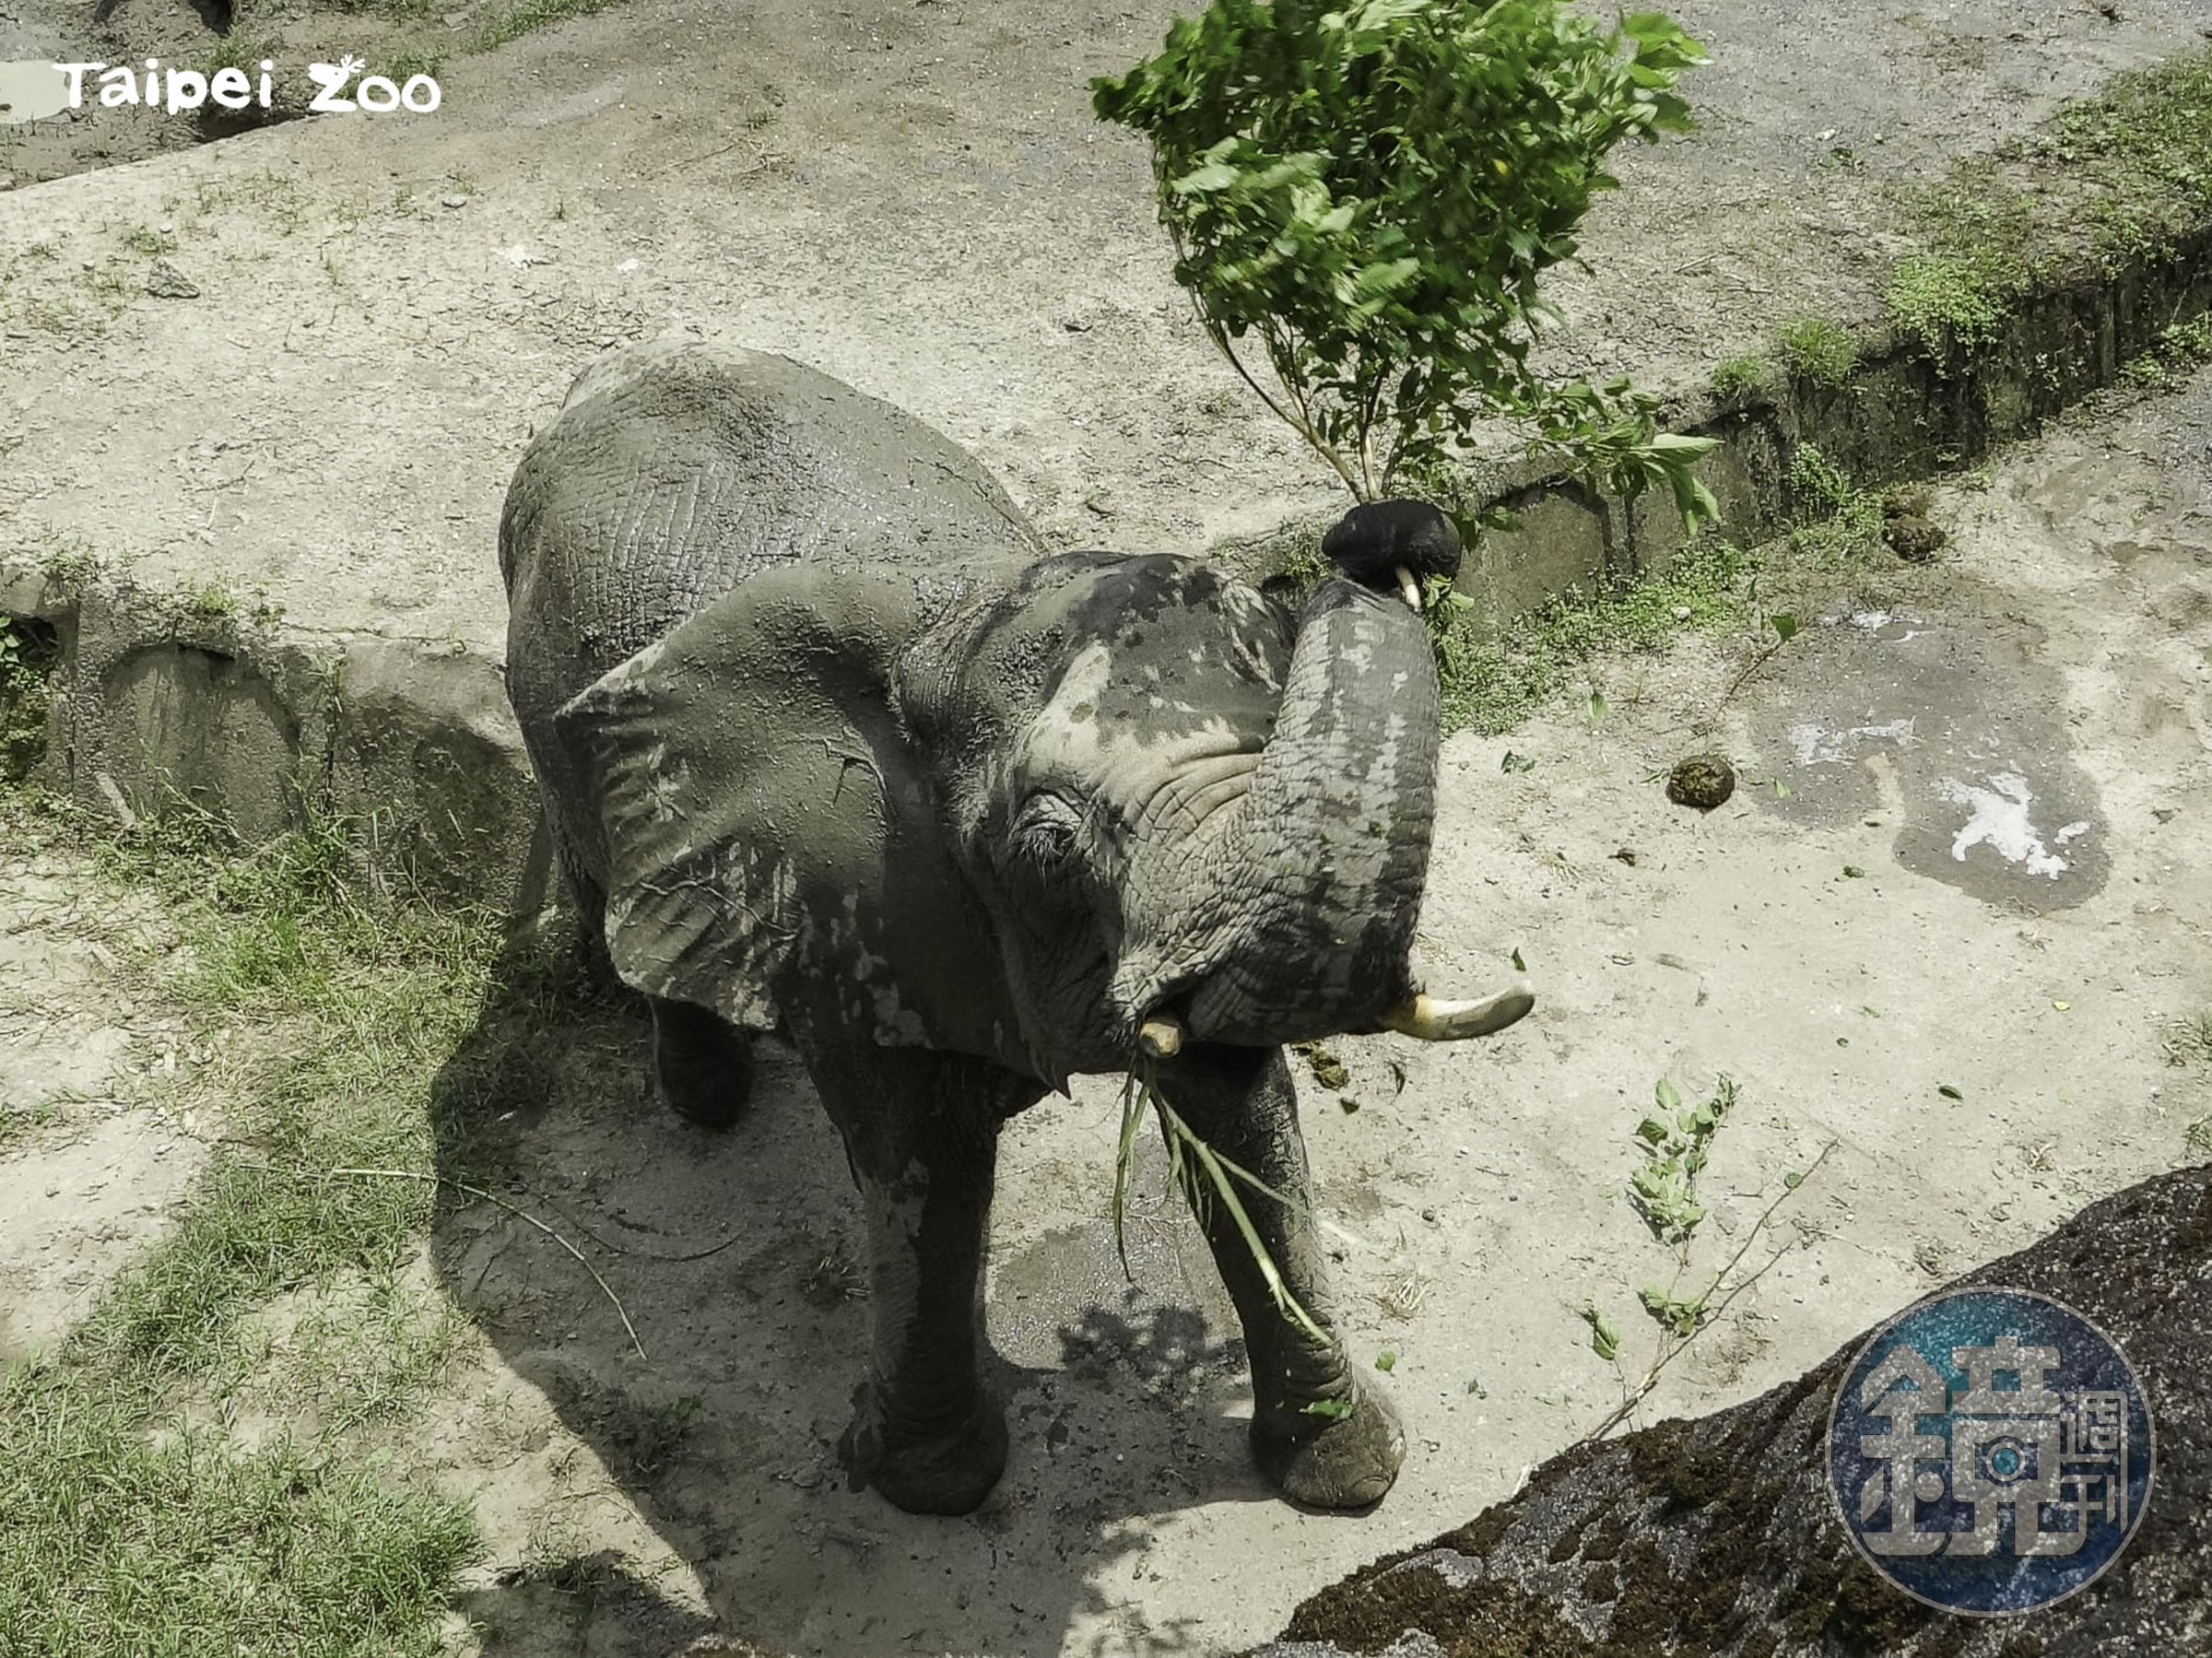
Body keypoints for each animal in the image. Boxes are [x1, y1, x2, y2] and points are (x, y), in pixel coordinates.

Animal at [498, 340, 1532, 1517]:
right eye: (1046, 850)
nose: (1386, 531)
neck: (954, 611)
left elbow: (1238, 1108)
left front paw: (1344, 1475)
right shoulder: (859, 899)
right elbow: (930, 1161)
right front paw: (928, 1485)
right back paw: (705, 1097)